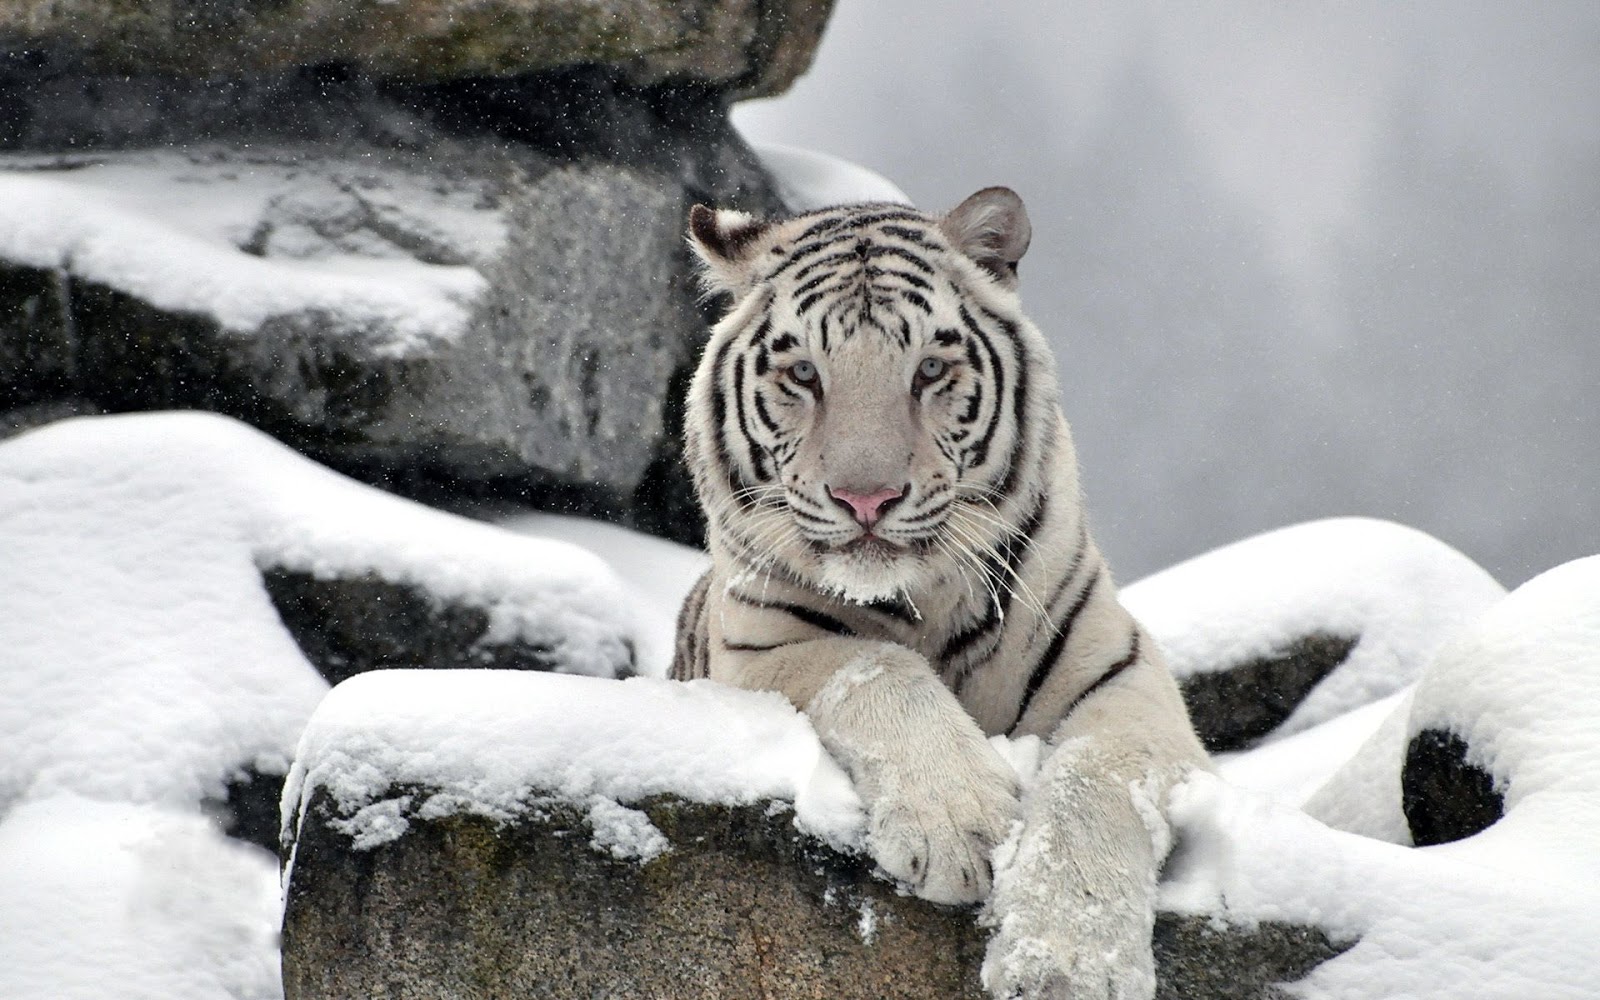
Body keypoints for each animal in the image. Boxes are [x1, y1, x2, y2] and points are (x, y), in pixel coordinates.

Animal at [668, 188, 1203, 998]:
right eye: (804, 373)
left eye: (928, 369)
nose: (866, 498)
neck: (923, 602)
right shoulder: (760, 650)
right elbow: (877, 669)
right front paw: (962, 827)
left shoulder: (1125, 676)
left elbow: (1096, 779)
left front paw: (1066, 965)